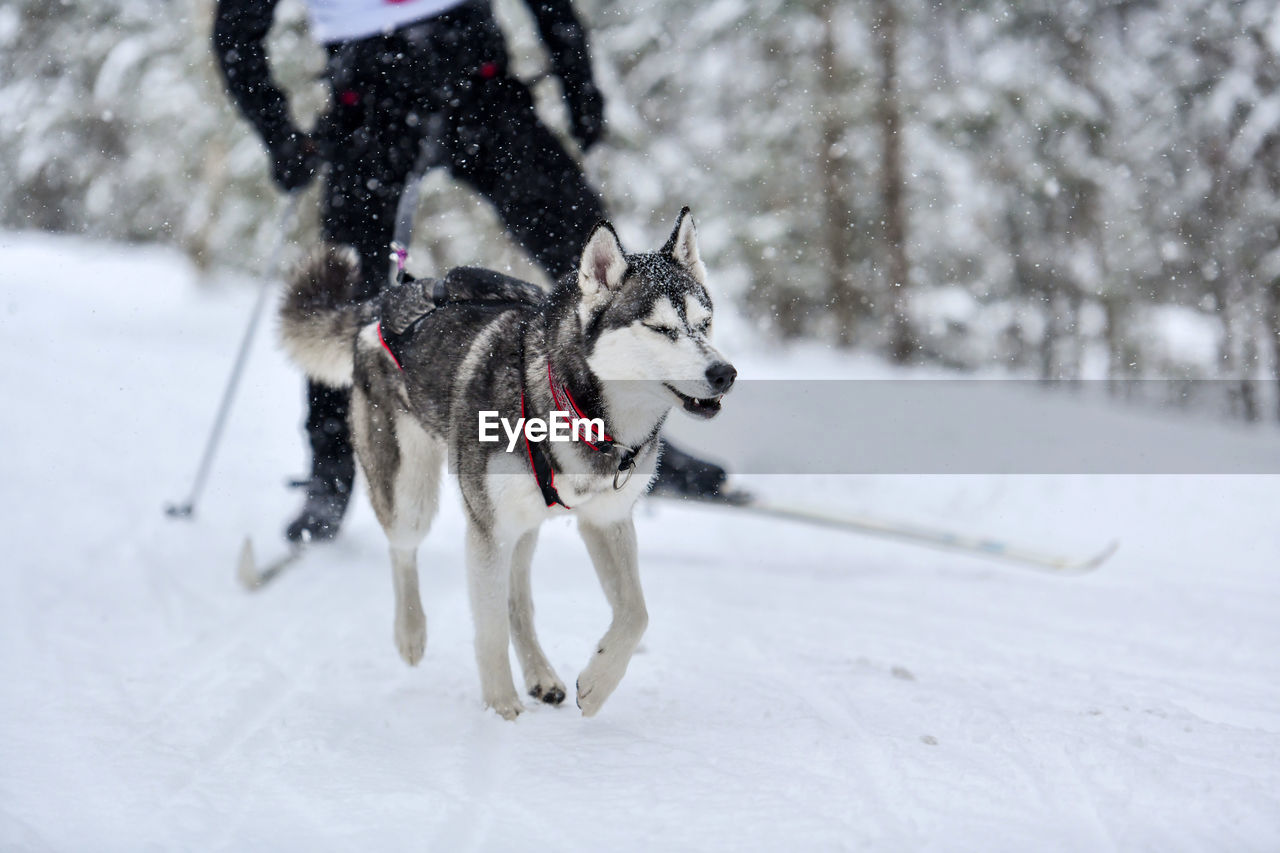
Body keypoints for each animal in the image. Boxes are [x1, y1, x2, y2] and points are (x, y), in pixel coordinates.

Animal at [280, 208, 742, 712]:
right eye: (661, 329)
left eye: (705, 323)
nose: (725, 373)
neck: (577, 409)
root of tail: (388, 299)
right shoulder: (487, 530)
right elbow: (489, 631)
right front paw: (502, 712)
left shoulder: (606, 520)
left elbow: (635, 614)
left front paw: (597, 683)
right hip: (414, 500)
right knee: (404, 550)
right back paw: (411, 632)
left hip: (523, 525)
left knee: (517, 601)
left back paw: (540, 674)